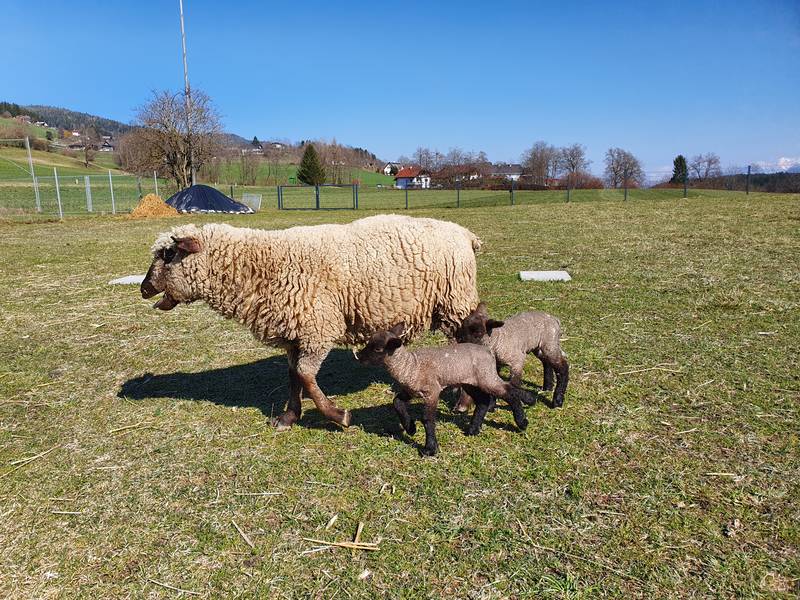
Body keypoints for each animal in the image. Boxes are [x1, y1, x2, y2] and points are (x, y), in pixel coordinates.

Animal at [141, 216, 482, 432]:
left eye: (168, 254)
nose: (143, 289)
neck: (262, 265)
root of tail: (465, 233)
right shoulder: (294, 334)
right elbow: (294, 375)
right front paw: (288, 417)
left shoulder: (318, 328)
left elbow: (306, 375)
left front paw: (338, 415)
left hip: (456, 300)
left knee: (469, 342)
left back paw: (464, 402)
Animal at [354, 324, 532, 454]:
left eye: (377, 349)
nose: (359, 357)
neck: (410, 367)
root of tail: (488, 351)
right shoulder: (411, 391)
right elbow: (396, 402)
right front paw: (410, 428)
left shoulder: (432, 391)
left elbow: (427, 419)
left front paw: (430, 449)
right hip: (470, 382)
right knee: (483, 401)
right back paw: (473, 429)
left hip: (486, 377)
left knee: (508, 392)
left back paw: (522, 421)